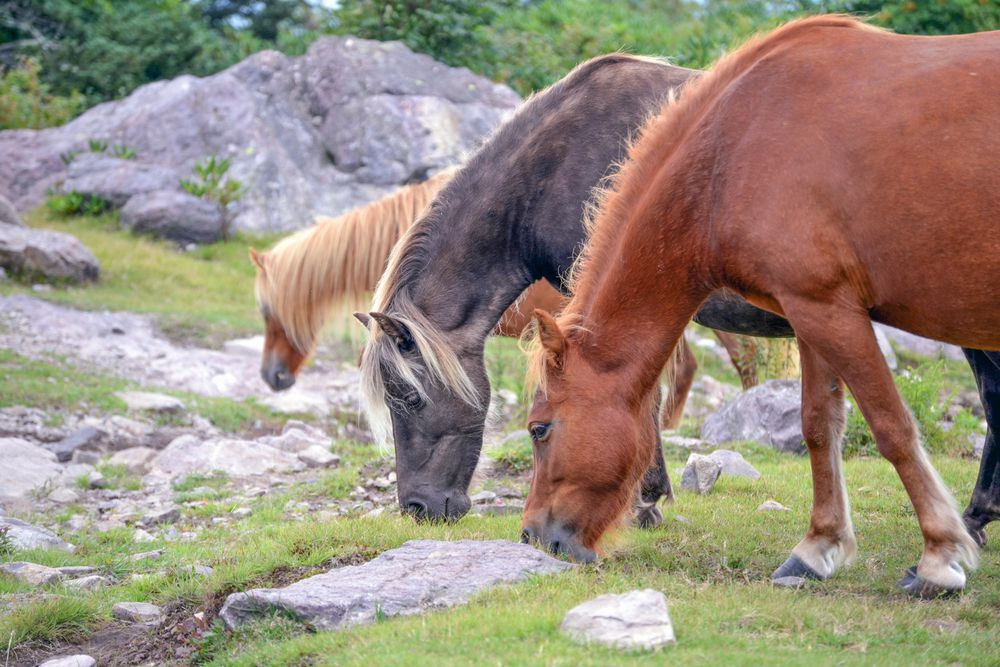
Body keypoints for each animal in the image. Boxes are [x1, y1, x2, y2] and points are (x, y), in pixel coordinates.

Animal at [520, 15, 996, 600]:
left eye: (540, 429)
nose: (531, 536)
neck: (735, 149)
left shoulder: (830, 311)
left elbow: (892, 428)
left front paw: (938, 557)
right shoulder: (812, 310)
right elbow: (818, 425)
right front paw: (817, 549)